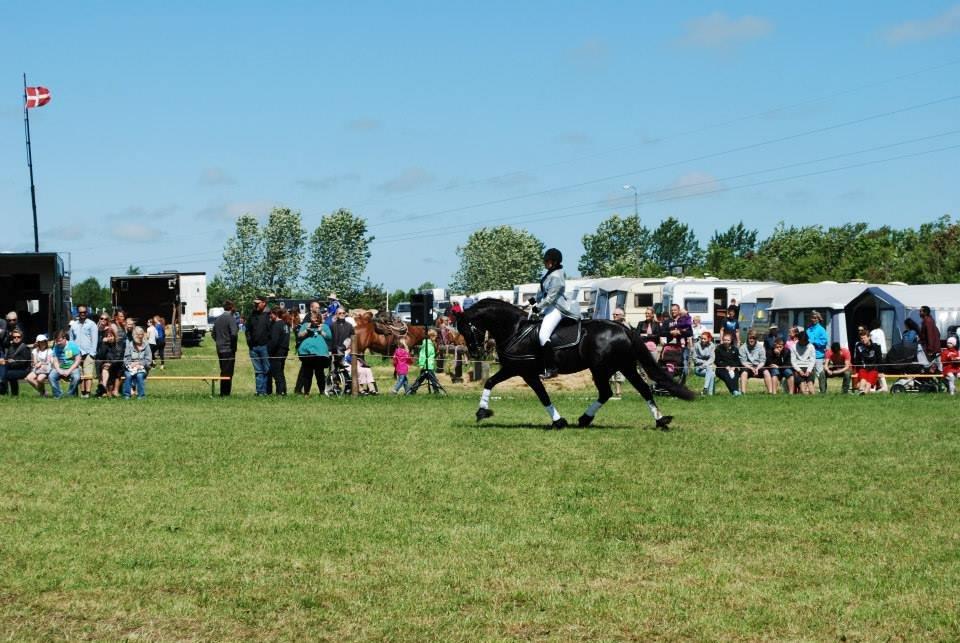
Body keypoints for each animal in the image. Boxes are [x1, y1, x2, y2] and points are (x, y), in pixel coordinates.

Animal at [456, 300, 688, 430]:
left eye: (467, 329)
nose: (475, 353)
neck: (515, 329)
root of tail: (624, 328)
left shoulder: (521, 371)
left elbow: (539, 395)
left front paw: (482, 412)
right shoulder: (520, 371)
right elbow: (495, 383)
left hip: (602, 369)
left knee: (609, 392)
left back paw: (586, 418)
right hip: (624, 366)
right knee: (641, 390)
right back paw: (660, 421)